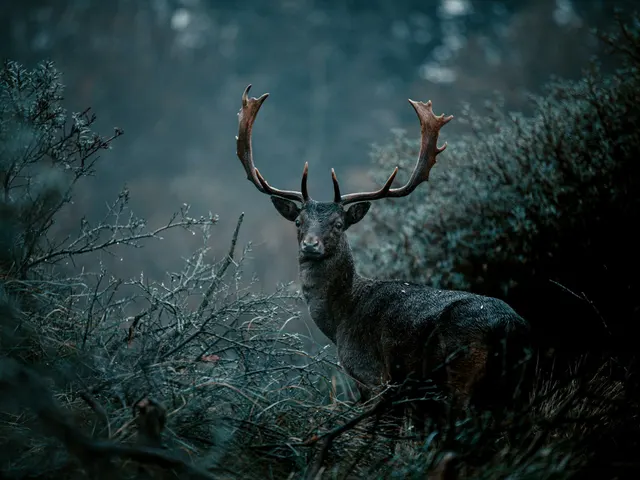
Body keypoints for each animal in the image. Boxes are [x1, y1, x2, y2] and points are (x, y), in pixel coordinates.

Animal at [234, 85, 532, 437]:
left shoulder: (373, 376)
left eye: (339, 224)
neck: (340, 319)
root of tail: (508, 327)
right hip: (519, 385)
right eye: (298, 222)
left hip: (461, 375)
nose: (310, 245)